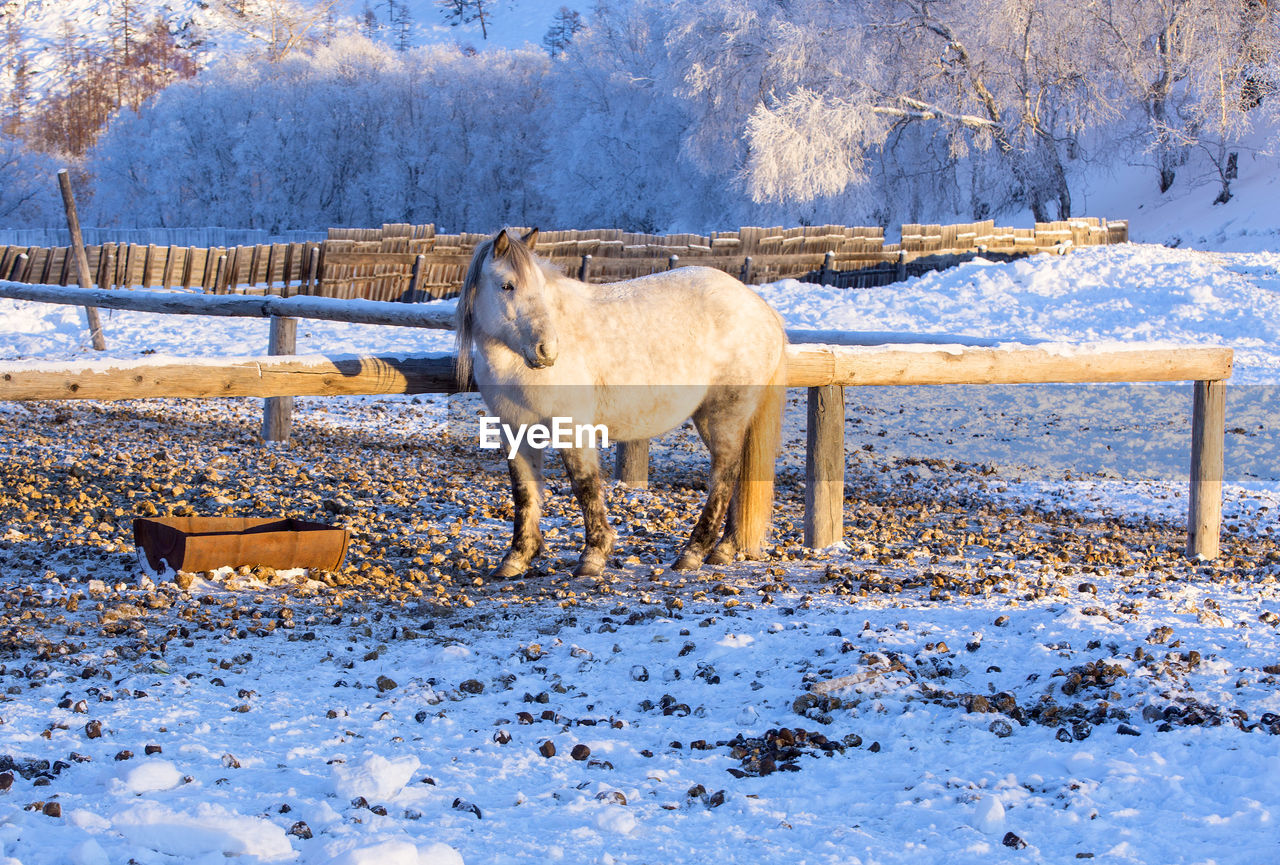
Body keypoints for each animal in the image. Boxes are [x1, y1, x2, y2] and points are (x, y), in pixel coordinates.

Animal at [455, 230, 783, 578]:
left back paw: (693, 552)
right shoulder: (515, 429)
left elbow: (584, 485)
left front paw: (593, 556)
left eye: (539, 287)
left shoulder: (572, 428)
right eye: (507, 285)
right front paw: (516, 558)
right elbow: (523, 491)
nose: (547, 350)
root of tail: (762, 309)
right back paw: (725, 548)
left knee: (724, 475)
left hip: (723, 415)